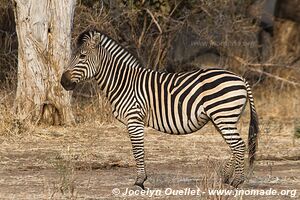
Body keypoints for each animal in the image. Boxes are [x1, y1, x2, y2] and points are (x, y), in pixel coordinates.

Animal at [60, 29, 258, 189]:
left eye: (82, 56)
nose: (63, 82)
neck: (124, 83)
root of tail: (240, 78)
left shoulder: (134, 119)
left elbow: (137, 150)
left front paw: (140, 181)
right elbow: (138, 150)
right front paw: (141, 179)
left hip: (223, 116)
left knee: (238, 145)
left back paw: (237, 181)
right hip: (222, 118)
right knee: (235, 146)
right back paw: (225, 177)